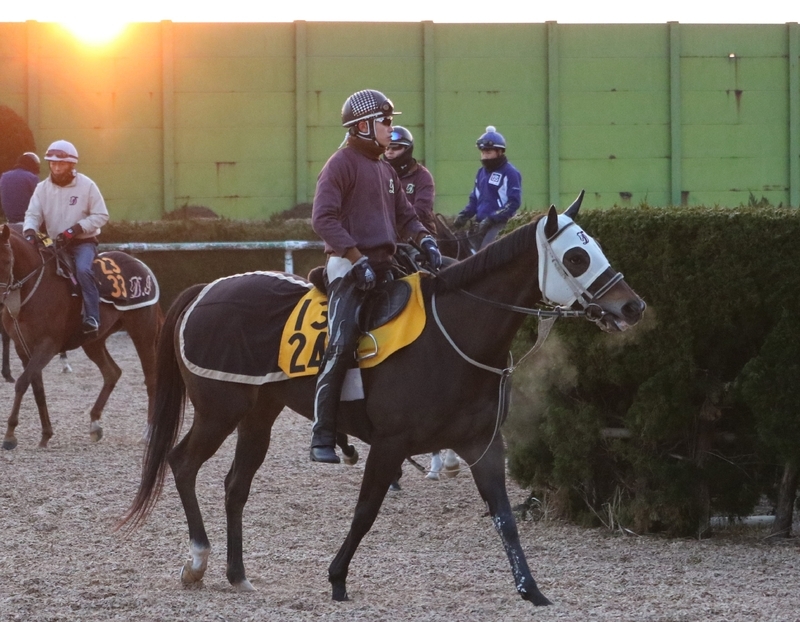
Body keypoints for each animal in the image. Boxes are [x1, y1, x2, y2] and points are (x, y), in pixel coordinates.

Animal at [0, 227, 164, 450]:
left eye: (7, 260)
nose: (0, 298)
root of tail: (140, 264)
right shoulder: (23, 347)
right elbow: (37, 388)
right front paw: (46, 434)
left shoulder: (48, 345)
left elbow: (22, 383)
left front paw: (10, 435)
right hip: (94, 341)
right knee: (112, 372)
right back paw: (94, 424)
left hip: (142, 334)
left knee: (151, 379)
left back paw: (148, 433)